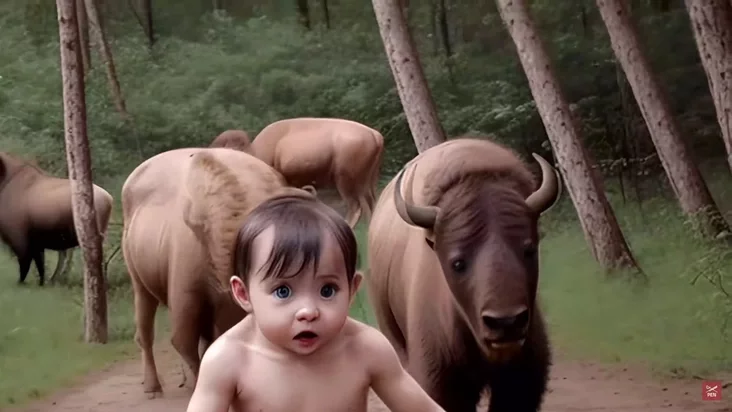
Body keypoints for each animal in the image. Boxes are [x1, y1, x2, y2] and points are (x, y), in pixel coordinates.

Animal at [0, 151, 114, 286]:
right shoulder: (36, 242)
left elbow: (25, 265)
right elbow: (40, 266)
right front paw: (42, 283)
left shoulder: (20, 239)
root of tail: (108, 198)